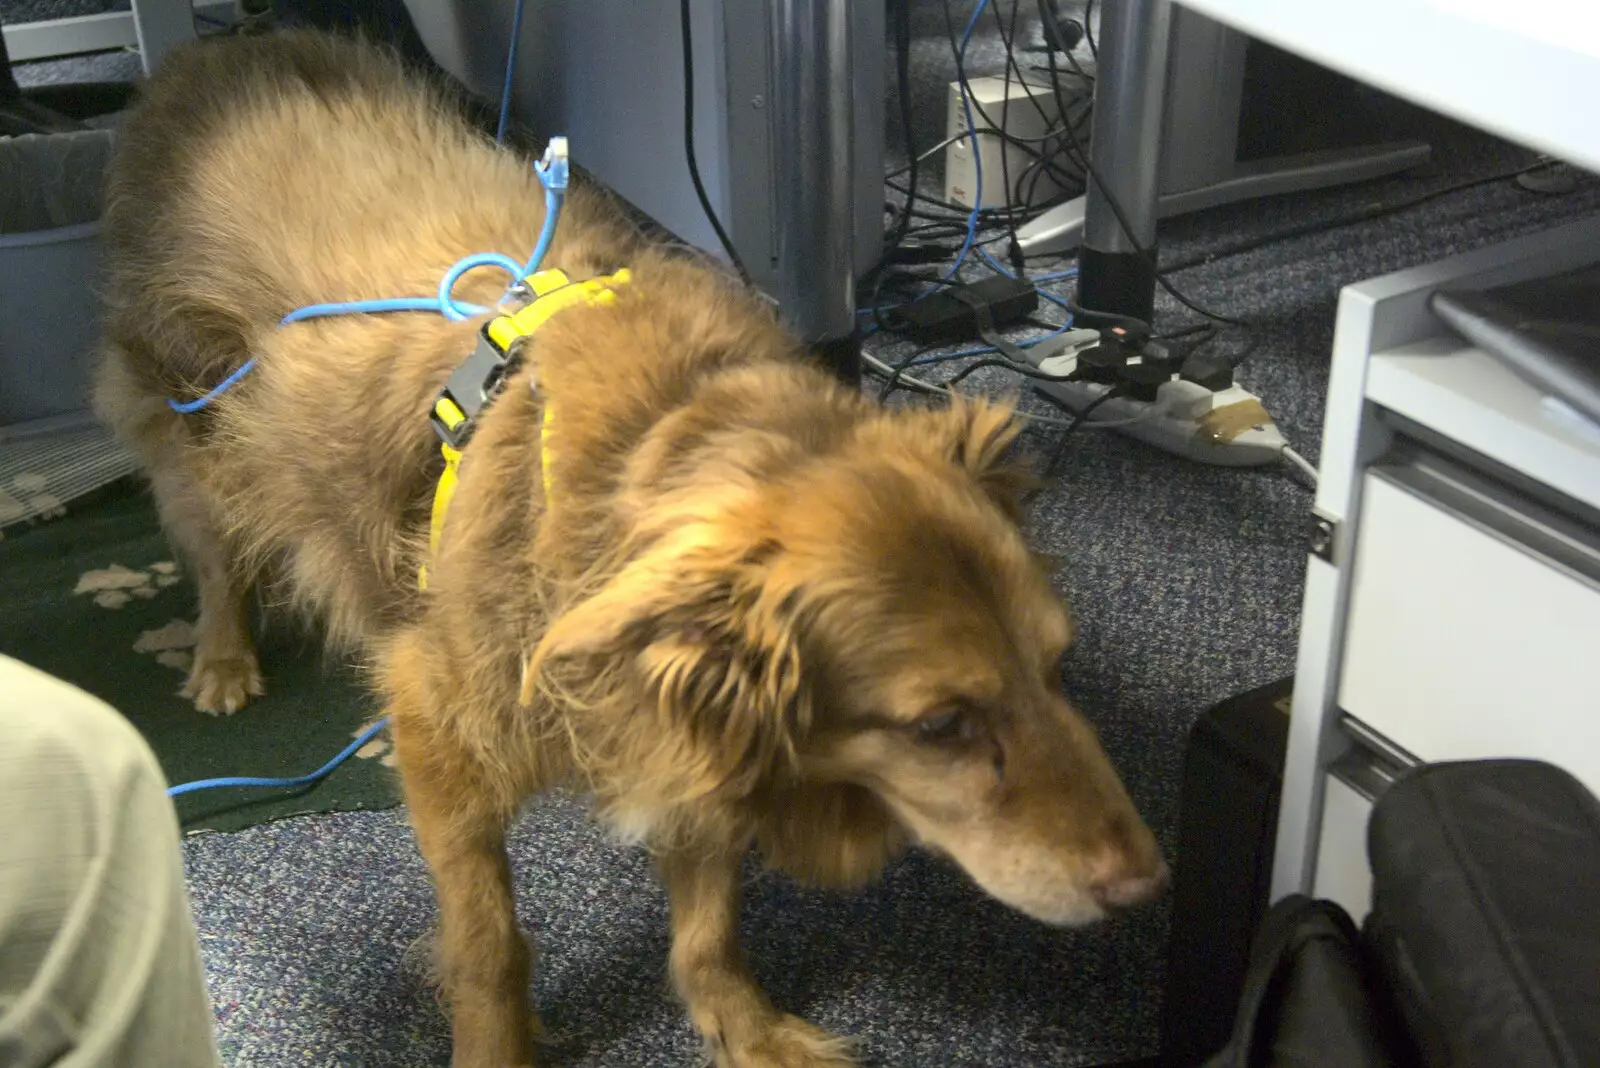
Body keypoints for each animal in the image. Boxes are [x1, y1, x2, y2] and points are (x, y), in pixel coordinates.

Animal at [93, 29, 1164, 1068]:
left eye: (1059, 666)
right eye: (939, 724)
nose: (1150, 888)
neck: (659, 439)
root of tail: (222, 46)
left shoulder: (681, 718)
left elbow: (710, 919)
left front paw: (741, 1025)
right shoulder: (442, 726)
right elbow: (487, 942)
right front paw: (497, 1047)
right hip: (192, 426)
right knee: (213, 553)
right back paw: (220, 657)